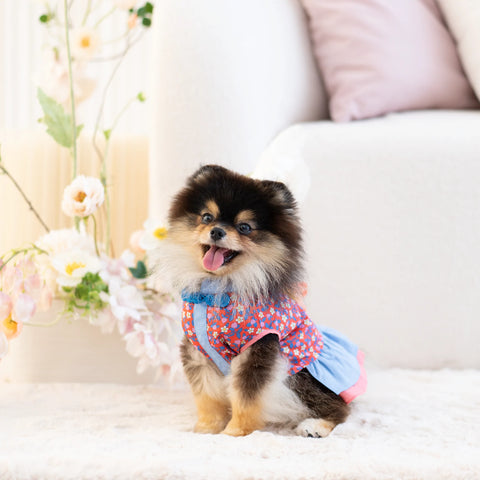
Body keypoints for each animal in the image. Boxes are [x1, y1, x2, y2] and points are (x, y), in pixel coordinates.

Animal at [157, 165, 366, 437]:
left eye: (245, 227)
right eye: (207, 217)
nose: (217, 231)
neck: (217, 290)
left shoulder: (259, 346)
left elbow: (246, 396)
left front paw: (235, 432)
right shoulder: (198, 350)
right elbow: (206, 395)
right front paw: (206, 428)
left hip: (301, 375)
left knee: (339, 407)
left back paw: (315, 426)